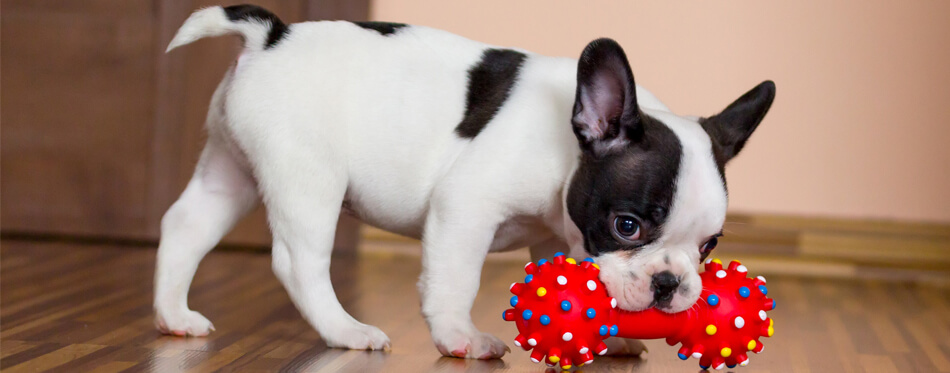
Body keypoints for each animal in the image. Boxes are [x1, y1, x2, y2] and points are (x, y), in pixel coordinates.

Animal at [154, 2, 772, 358]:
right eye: (627, 226)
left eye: (709, 246)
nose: (670, 283)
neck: (565, 144)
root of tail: (271, 37)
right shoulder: (466, 207)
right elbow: (455, 281)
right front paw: (460, 338)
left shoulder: (555, 233)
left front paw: (607, 335)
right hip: (308, 178)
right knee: (297, 262)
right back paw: (346, 331)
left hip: (230, 168)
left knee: (185, 225)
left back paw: (174, 317)